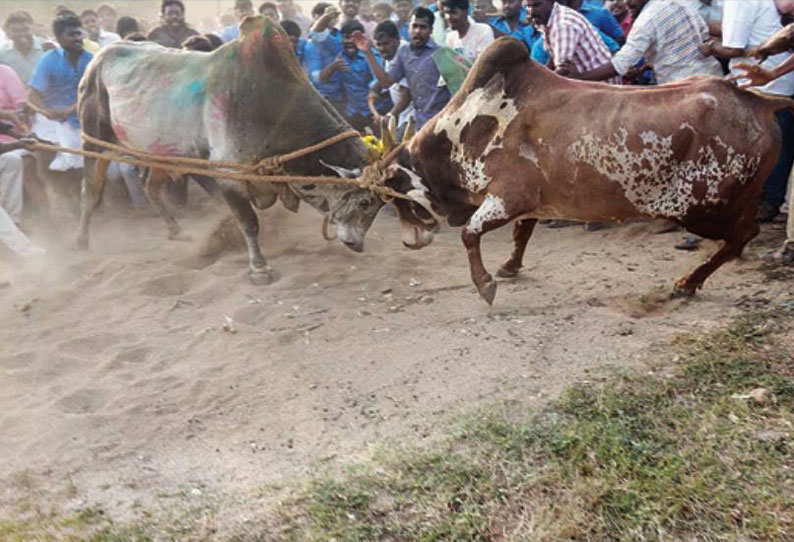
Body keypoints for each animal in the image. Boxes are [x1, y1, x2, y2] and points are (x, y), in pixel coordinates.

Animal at [372, 40, 792, 306]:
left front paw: (485, 285)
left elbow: (469, 234)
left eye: (390, 191)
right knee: (741, 236)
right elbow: (521, 233)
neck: (465, 130)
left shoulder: (509, 196)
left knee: (743, 234)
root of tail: (758, 101)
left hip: (699, 209)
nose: (410, 241)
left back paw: (688, 283)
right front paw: (509, 267)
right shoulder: (532, 203)